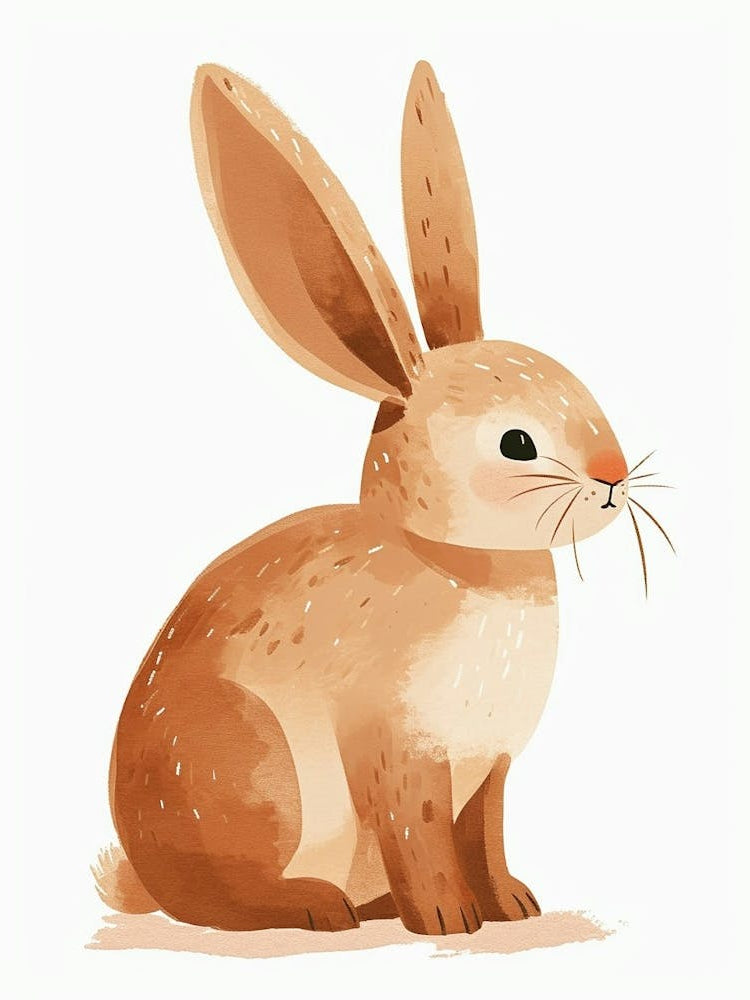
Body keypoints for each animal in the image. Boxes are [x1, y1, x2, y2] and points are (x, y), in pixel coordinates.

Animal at [102, 60, 637, 937]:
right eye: (517, 444)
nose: (615, 476)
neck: (460, 561)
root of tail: (142, 878)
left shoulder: (489, 768)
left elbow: (485, 836)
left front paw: (513, 907)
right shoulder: (398, 754)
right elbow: (420, 838)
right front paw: (449, 920)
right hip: (248, 767)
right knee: (222, 897)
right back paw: (317, 907)